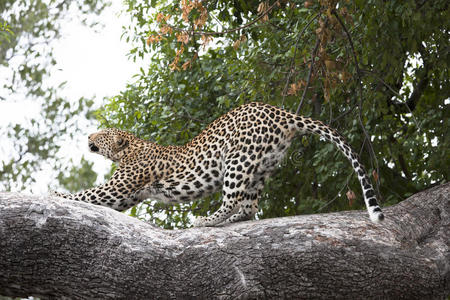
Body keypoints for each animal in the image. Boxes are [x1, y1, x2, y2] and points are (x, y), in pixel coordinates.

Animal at [51, 102, 384, 226]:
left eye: (102, 134)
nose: (89, 137)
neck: (130, 148)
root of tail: (280, 111)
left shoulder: (120, 187)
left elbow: (89, 194)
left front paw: (57, 194)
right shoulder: (127, 196)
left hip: (236, 159)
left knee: (232, 199)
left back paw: (206, 221)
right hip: (261, 166)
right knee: (249, 206)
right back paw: (233, 220)